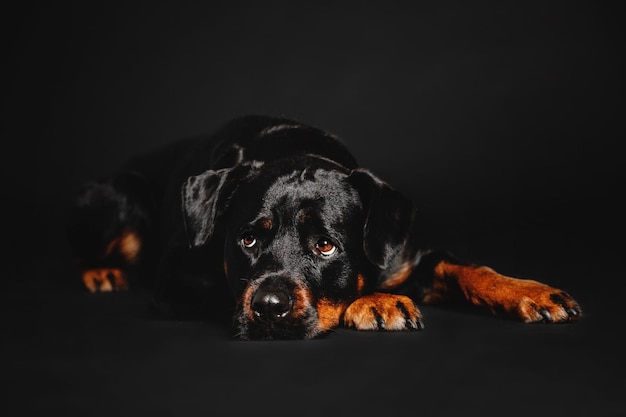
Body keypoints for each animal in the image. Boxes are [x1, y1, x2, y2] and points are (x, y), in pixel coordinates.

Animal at [64, 114, 580, 338]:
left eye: (326, 246)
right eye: (247, 239)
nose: (269, 307)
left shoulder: (404, 254)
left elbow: (466, 267)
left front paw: (531, 292)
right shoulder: (176, 276)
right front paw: (376, 301)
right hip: (120, 194)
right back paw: (100, 272)